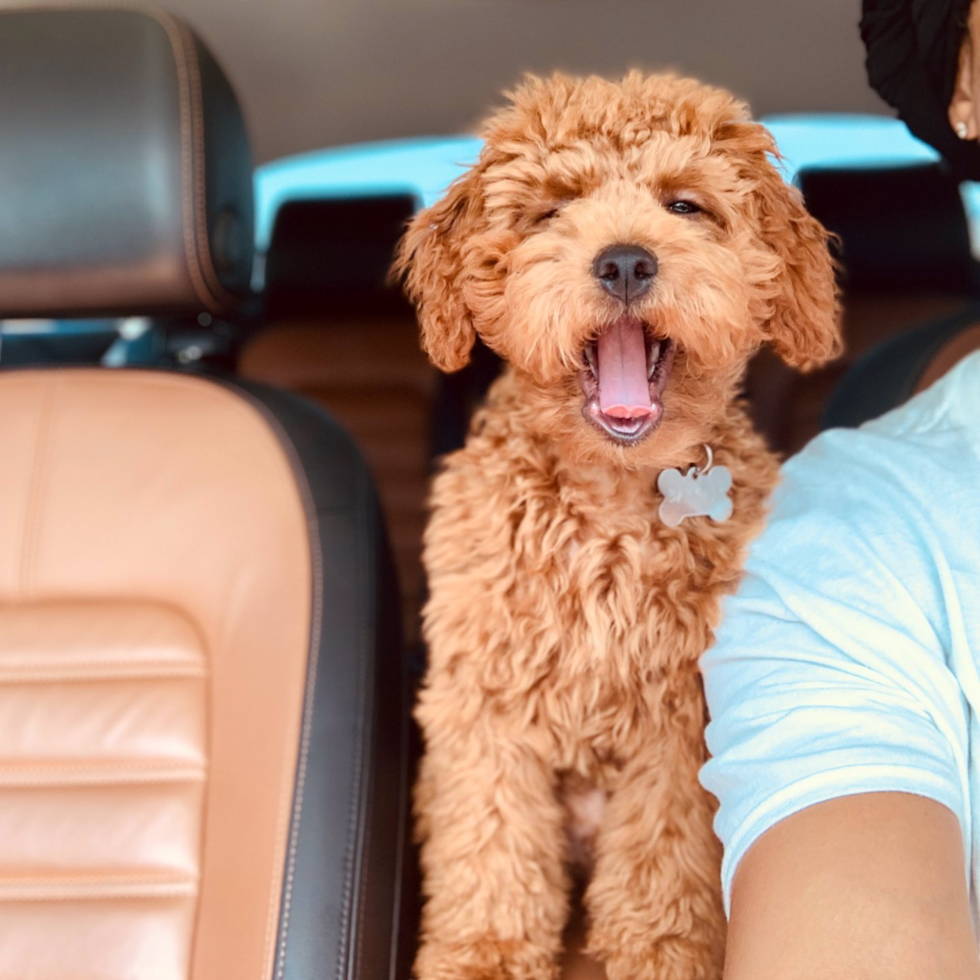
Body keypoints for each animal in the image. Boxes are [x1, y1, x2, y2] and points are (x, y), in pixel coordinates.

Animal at [394, 71, 840, 980]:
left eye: (685, 205)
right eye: (551, 210)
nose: (627, 260)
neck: (611, 497)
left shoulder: (683, 715)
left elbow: (665, 847)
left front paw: (663, 948)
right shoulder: (485, 695)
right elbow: (490, 836)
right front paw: (486, 953)